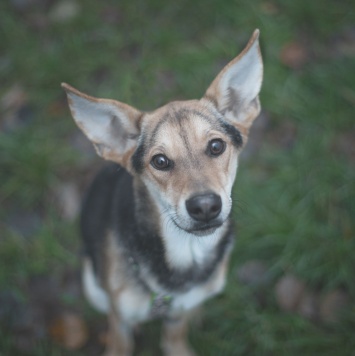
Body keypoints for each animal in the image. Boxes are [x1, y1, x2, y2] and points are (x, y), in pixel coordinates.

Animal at [61, 29, 262, 354]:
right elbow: (121, 341)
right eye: (160, 161)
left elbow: (175, 338)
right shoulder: (119, 320)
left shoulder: (177, 315)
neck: (185, 252)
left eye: (216, 146)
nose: (205, 206)